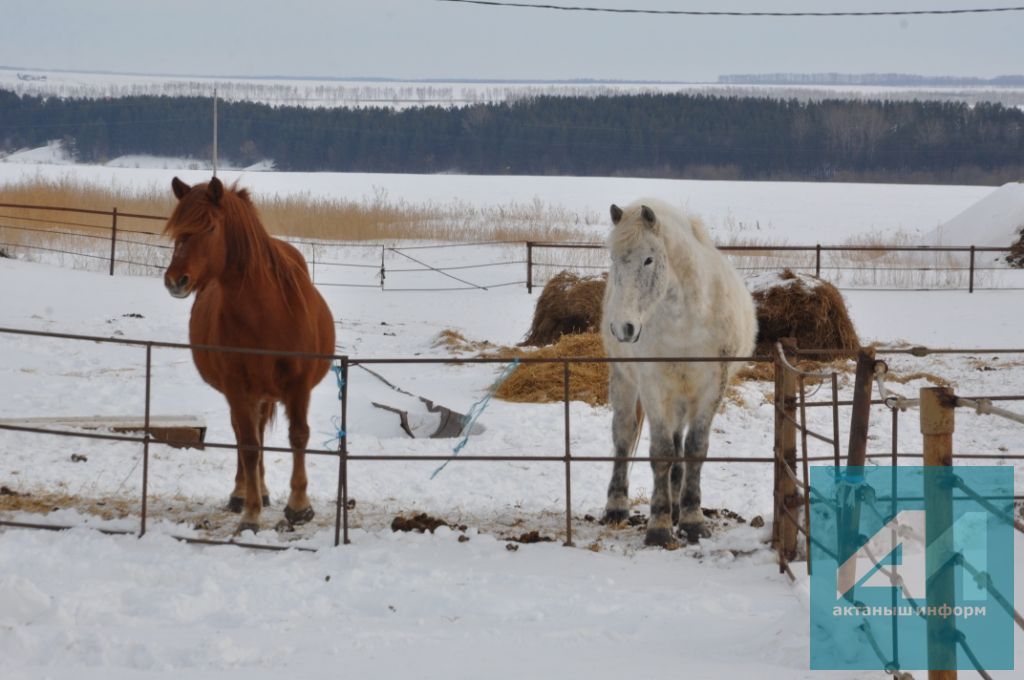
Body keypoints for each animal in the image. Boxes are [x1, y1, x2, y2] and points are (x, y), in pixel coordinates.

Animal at [161, 178, 333, 532]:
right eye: (177, 229)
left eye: (209, 227)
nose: (175, 280)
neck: (266, 312)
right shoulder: (238, 388)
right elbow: (250, 446)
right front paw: (250, 514)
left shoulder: (299, 386)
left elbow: (298, 436)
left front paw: (299, 506)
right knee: (245, 436)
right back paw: (244, 494)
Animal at [598, 197, 761, 548]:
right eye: (614, 260)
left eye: (649, 259)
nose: (623, 328)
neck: (686, 318)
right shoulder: (654, 385)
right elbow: (661, 452)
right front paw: (659, 527)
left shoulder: (710, 387)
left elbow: (694, 450)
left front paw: (691, 520)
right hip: (626, 380)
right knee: (624, 435)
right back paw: (617, 506)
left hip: (682, 397)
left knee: (679, 443)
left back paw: (675, 507)